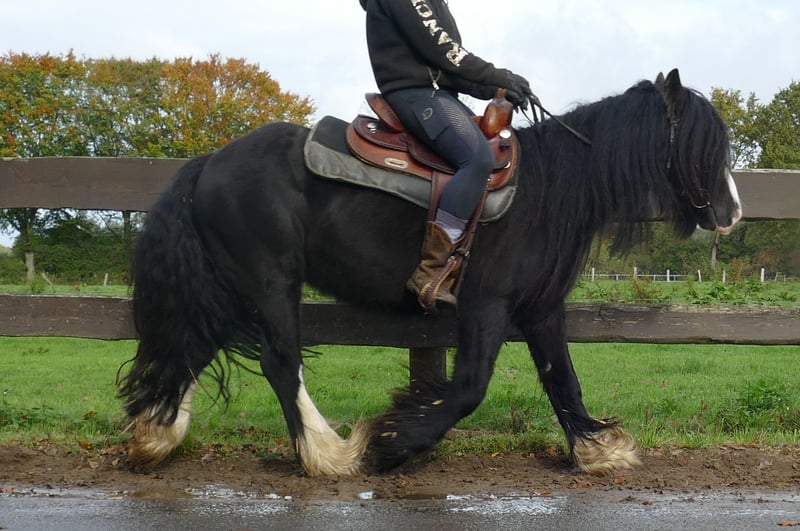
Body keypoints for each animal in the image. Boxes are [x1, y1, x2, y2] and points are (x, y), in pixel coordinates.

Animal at [118, 69, 742, 477]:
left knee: (194, 346)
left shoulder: (542, 309)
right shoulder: (486, 304)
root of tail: (209, 163)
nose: (732, 211)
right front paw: (396, 441)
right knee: (279, 361)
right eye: (705, 145)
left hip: (236, 286)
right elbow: (469, 387)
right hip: (271, 281)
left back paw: (156, 436)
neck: (551, 187)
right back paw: (328, 455)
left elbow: (562, 377)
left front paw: (597, 449)